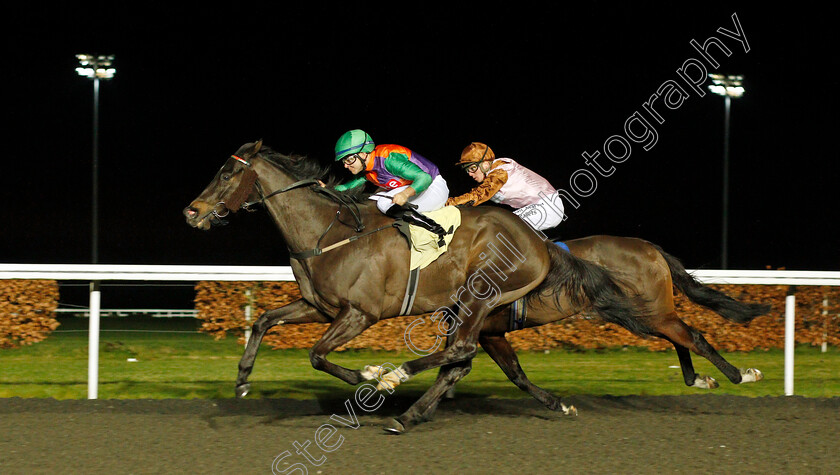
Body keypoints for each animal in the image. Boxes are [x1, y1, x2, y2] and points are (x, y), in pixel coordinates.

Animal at [182, 139, 644, 434]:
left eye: (227, 174)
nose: (192, 212)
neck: (327, 233)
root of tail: (539, 242)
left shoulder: (359, 313)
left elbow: (316, 355)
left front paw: (371, 374)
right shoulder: (320, 307)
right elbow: (263, 320)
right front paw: (242, 381)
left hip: (481, 296)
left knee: (461, 350)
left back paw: (398, 379)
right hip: (470, 307)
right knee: (463, 360)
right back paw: (411, 414)